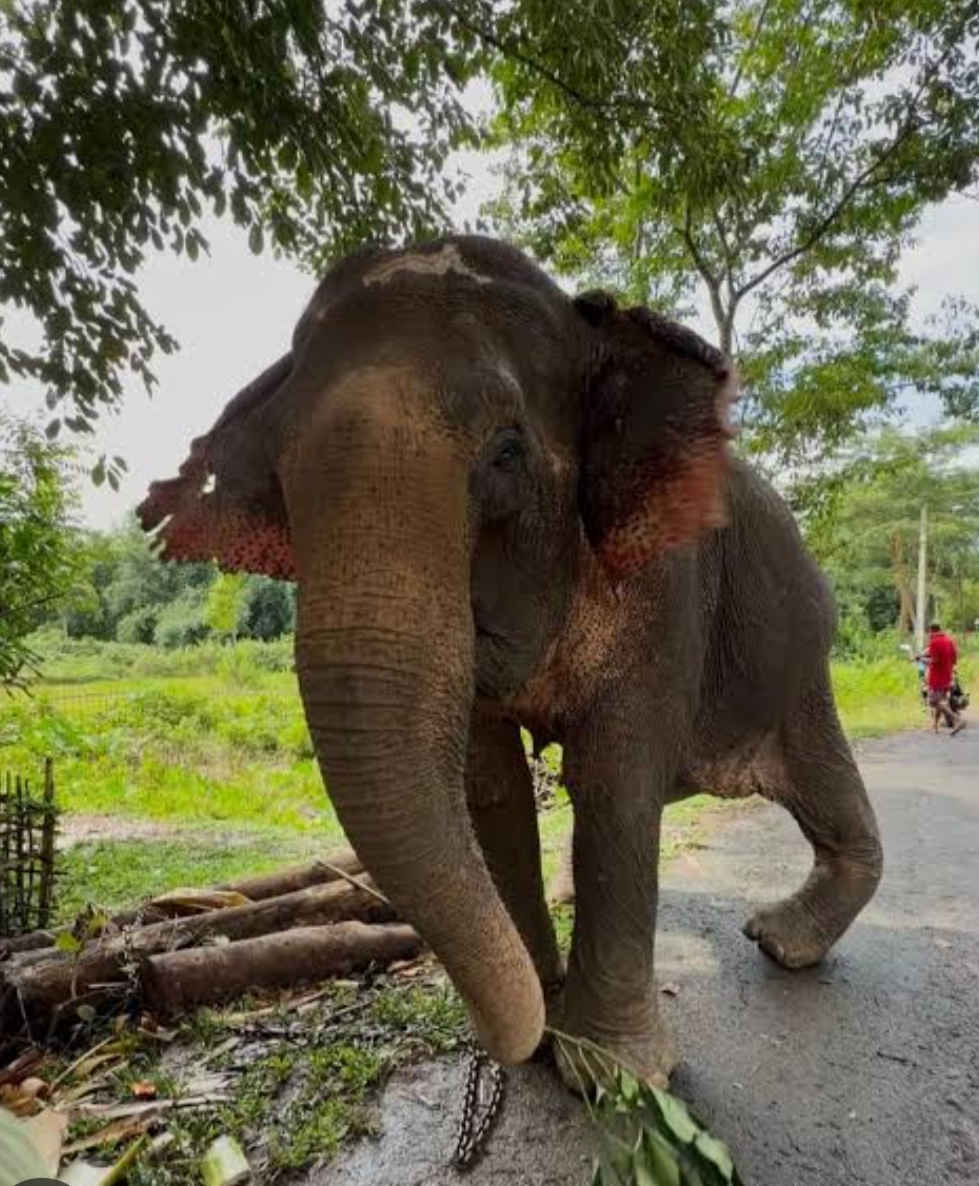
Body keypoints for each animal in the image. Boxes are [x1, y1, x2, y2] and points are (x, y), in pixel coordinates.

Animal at [139, 235, 883, 1088]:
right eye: (277, 481)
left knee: (822, 782)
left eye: (506, 453)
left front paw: (609, 1072)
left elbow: (613, 781)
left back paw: (777, 941)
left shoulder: (668, 585)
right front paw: (546, 1017)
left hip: (798, 656)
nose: (521, 1031)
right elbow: (488, 786)